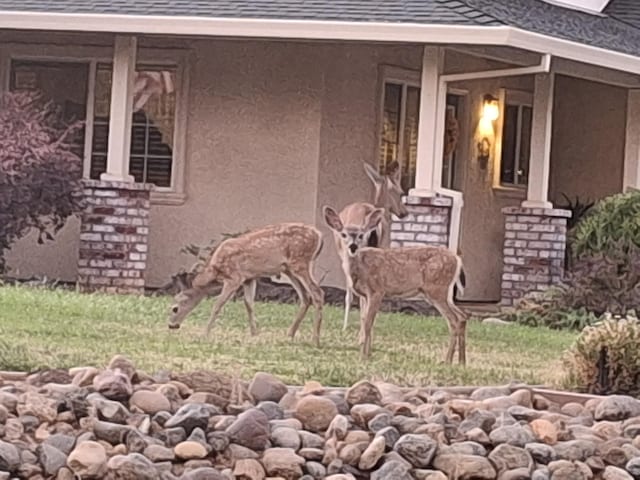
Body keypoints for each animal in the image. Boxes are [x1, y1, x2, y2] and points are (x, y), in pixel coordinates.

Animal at [168, 223, 324, 346]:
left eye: (175, 308)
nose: (171, 325)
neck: (214, 270)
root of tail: (319, 235)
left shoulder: (234, 278)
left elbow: (217, 305)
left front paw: (205, 334)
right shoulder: (249, 278)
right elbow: (248, 304)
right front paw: (254, 334)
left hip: (300, 261)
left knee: (317, 292)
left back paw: (315, 340)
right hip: (289, 269)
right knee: (305, 297)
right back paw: (289, 334)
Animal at [324, 204, 464, 362]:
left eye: (360, 235)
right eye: (343, 234)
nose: (352, 247)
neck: (360, 267)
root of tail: (457, 260)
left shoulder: (377, 290)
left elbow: (368, 323)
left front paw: (363, 356)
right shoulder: (365, 295)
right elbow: (365, 320)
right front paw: (367, 353)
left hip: (437, 289)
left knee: (454, 320)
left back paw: (447, 360)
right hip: (442, 293)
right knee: (462, 316)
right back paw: (461, 361)